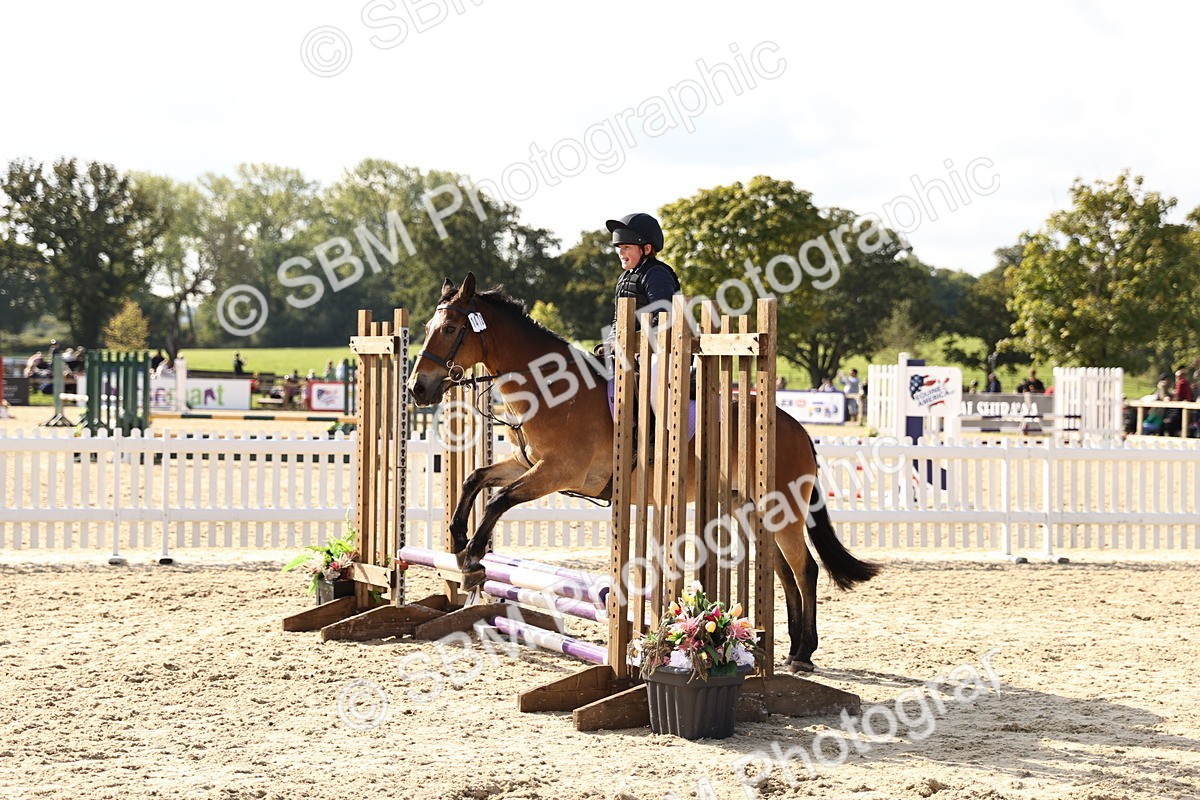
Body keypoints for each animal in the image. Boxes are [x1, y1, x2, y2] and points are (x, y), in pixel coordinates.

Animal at [407, 273, 879, 671]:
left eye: (450, 328)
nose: (417, 388)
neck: (552, 389)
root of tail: (796, 426)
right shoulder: (526, 464)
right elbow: (476, 479)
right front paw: (458, 542)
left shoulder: (556, 472)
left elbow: (500, 501)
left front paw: (473, 558)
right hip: (749, 510)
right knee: (782, 573)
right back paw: (792, 648)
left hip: (782, 509)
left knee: (805, 570)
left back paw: (803, 654)